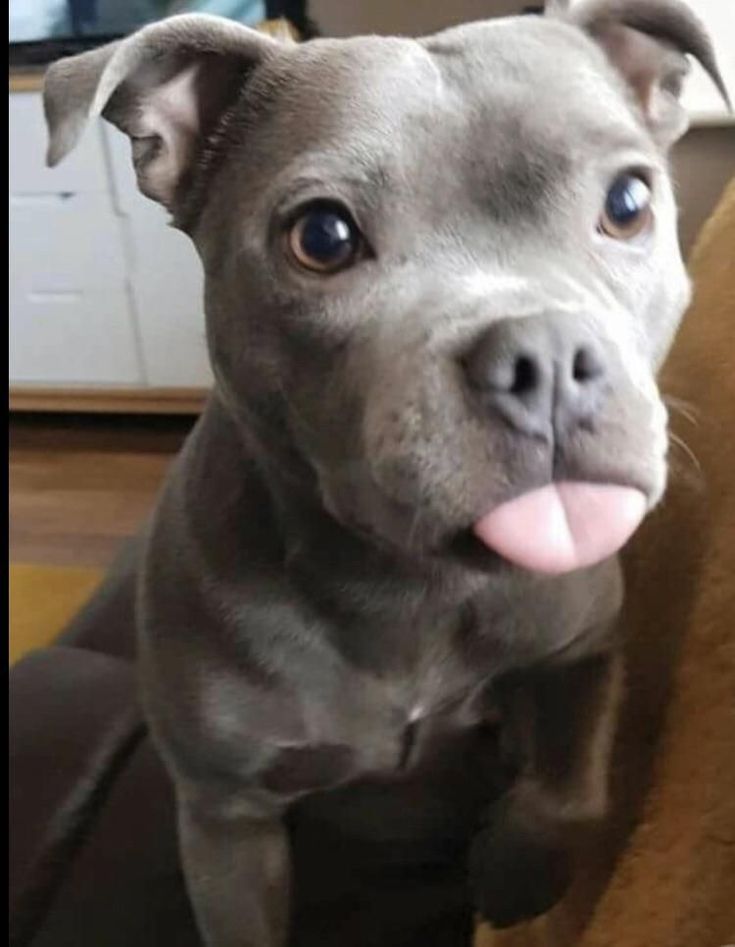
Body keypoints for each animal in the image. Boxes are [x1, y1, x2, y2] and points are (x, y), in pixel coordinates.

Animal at [44, 1, 732, 947]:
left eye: (627, 203)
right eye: (321, 237)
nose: (543, 358)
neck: (407, 588)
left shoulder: (585, 650)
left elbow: (572, 785)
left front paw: (515, 868)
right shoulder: (225, 817)